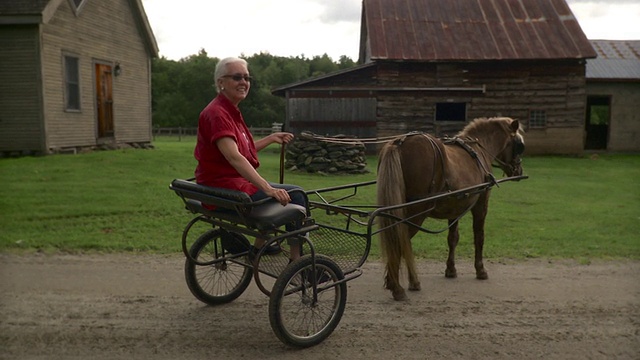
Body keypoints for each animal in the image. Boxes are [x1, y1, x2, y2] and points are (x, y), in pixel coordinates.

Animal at [378, 117, 524, 300]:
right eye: (519, 144)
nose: (519, 171)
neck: (478, 151)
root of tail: (399, 143)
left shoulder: (455, 208)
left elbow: (453, 238)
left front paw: (450, 269)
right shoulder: (481, 204)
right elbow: (479, 236)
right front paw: (480, 269)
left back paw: (410, 282)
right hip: (417, 211)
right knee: (400, 240)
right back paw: (396, 287)